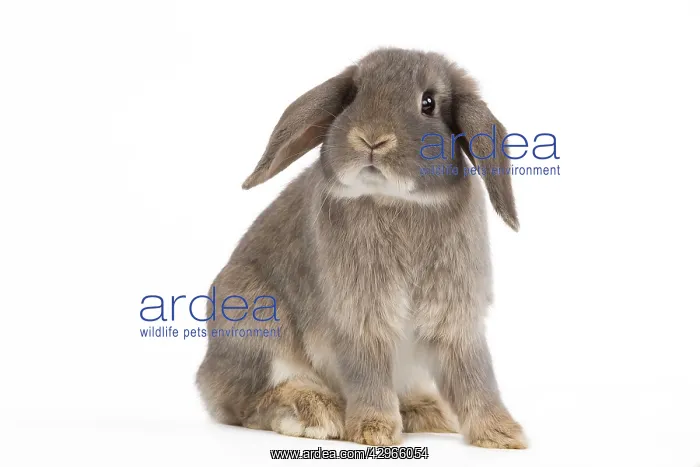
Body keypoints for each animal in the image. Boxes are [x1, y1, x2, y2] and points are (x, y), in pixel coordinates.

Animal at [196, 47, 526, 449]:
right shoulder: (359, 318)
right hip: (256, 321)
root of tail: (206, 376)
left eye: (428, 103)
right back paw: (313, 412)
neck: (395, 201)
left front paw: (502, 435)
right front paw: (374, 432)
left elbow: (474, 375)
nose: (371, 139)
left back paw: (427, 411)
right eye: (353, 96)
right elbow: (367, 373)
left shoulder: (455, 321)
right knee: (251, 403)